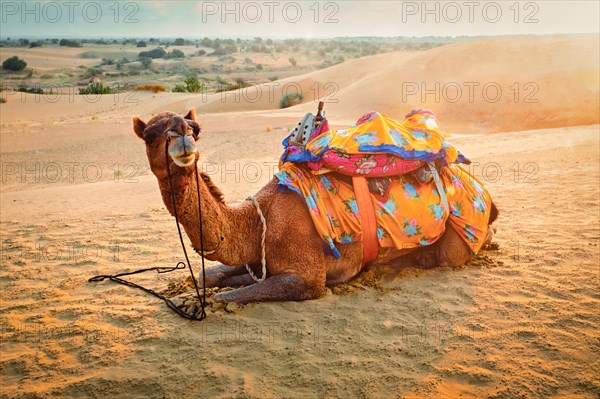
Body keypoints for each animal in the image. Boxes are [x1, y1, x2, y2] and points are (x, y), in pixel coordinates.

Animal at [134, 109, 500, 304]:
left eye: (194, 129)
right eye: (151, 134)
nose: (183, 138)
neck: (258, 220)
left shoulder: (308, 276)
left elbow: (226, 295)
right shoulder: (260, 259)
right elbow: (212, 273)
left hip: (459, 240)